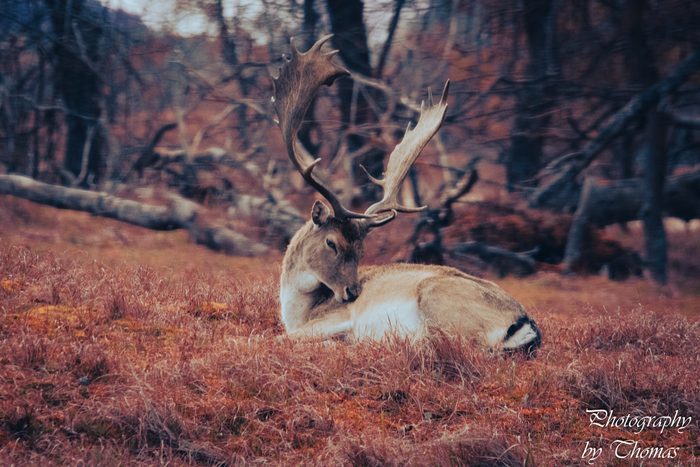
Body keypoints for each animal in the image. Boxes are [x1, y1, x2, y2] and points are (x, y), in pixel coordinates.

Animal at [272, 35, 541, 353]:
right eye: (332, 243)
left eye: (360, 249)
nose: (353, 293)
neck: (298, 313)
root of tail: (524, 324)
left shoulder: (336, 318)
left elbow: (279, 337)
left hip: (436, 299)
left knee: (454, 345)